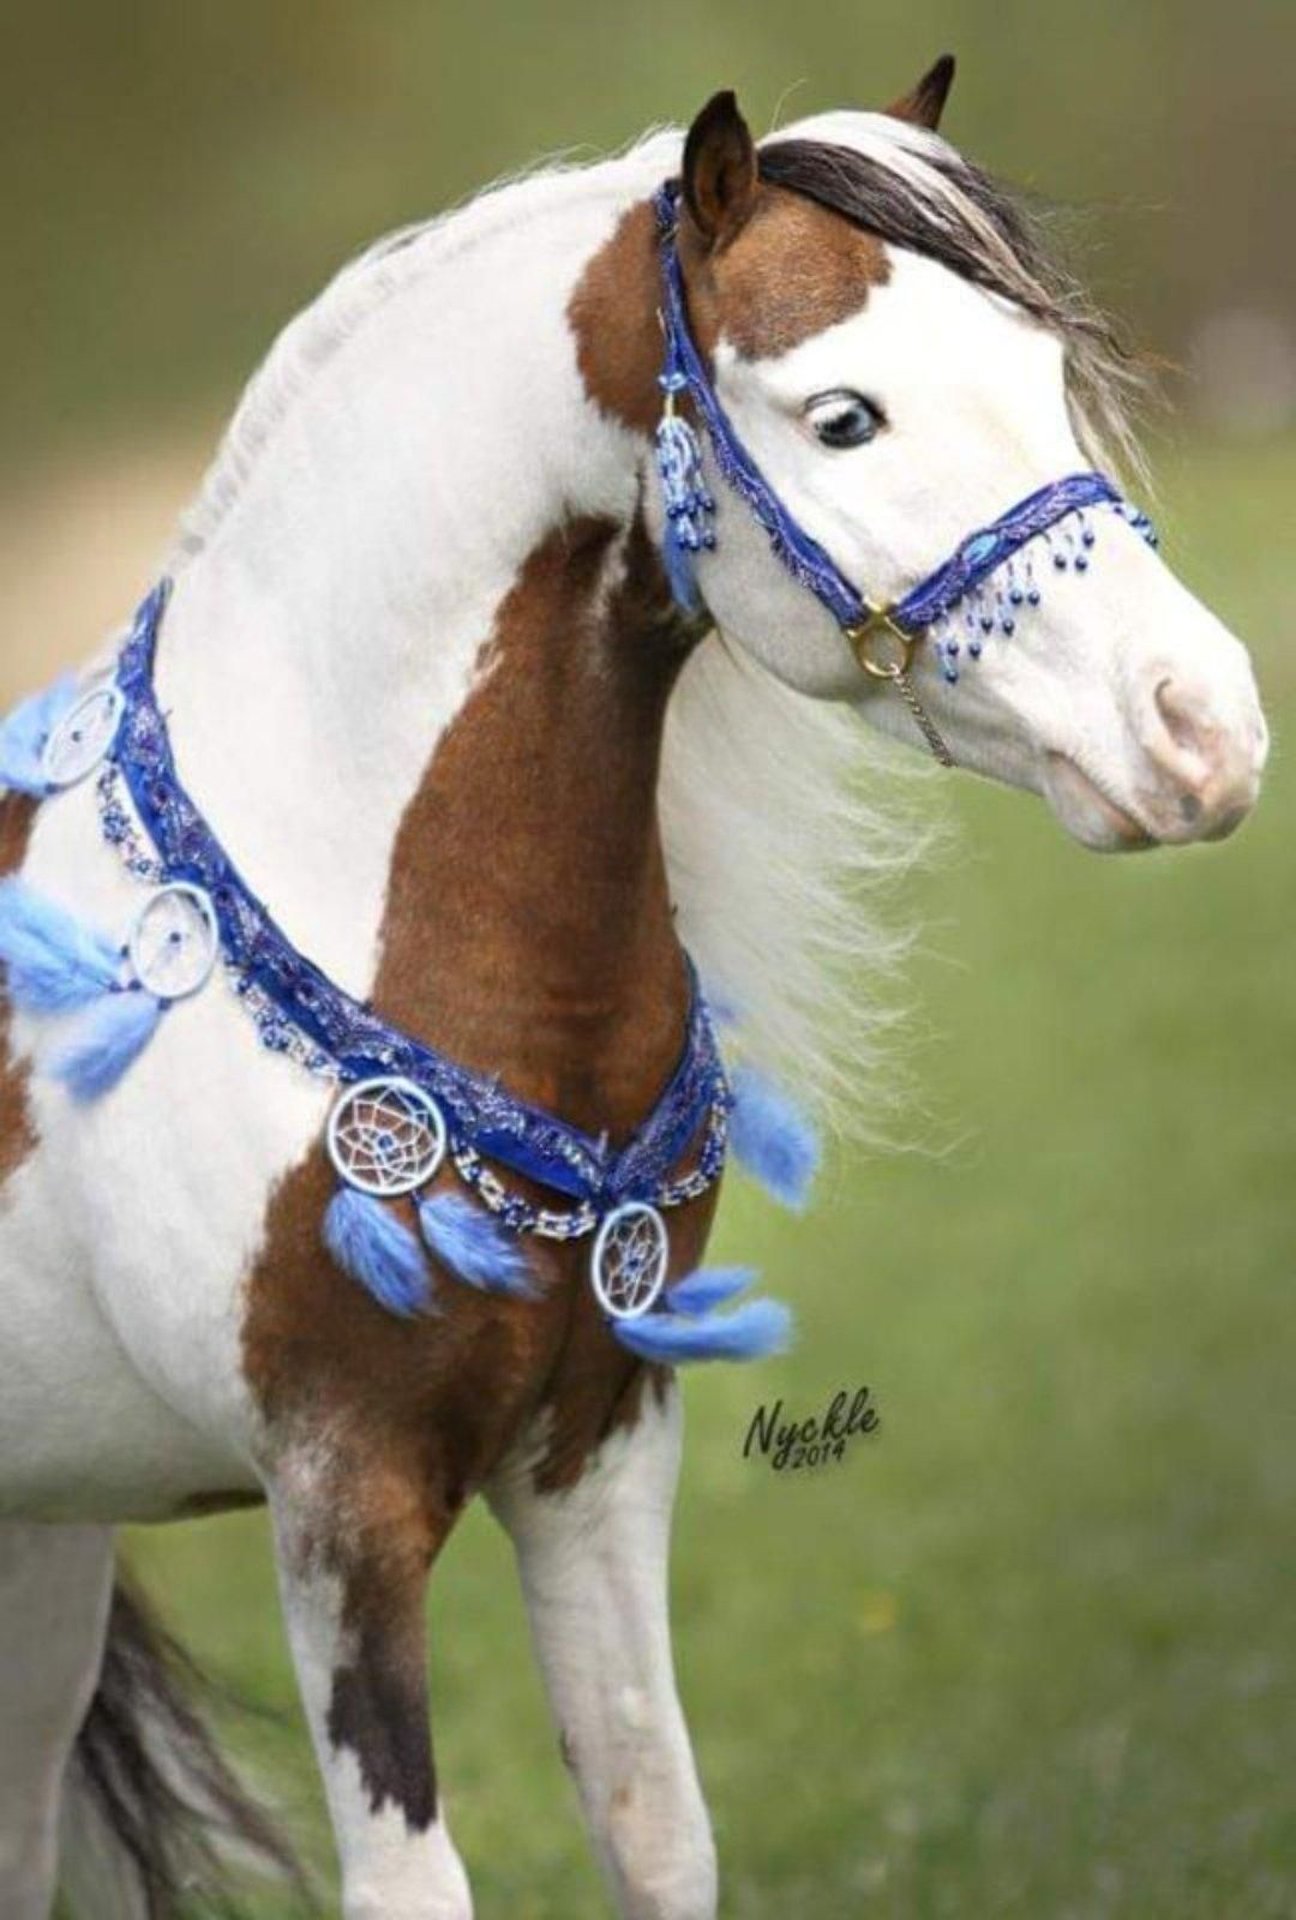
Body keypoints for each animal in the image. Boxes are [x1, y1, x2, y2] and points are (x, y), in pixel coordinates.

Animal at [0, 57, 1267, 1920]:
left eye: (1041, 375)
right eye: (845, 416)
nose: (1204, 728)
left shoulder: (598, 1448)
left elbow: (655, 1824)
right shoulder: (341, 1502)